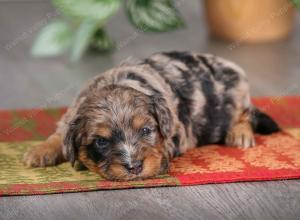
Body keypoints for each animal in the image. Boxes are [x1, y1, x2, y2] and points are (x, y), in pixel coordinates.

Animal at [22, 51, 278, 180]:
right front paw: (39, 152)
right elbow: (59, 134)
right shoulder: (71, 115)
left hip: (237, 92)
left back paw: (239, 134)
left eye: (146, 130)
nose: (134, 167)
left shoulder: (178, 131)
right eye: (101, 142)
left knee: (246, 113)